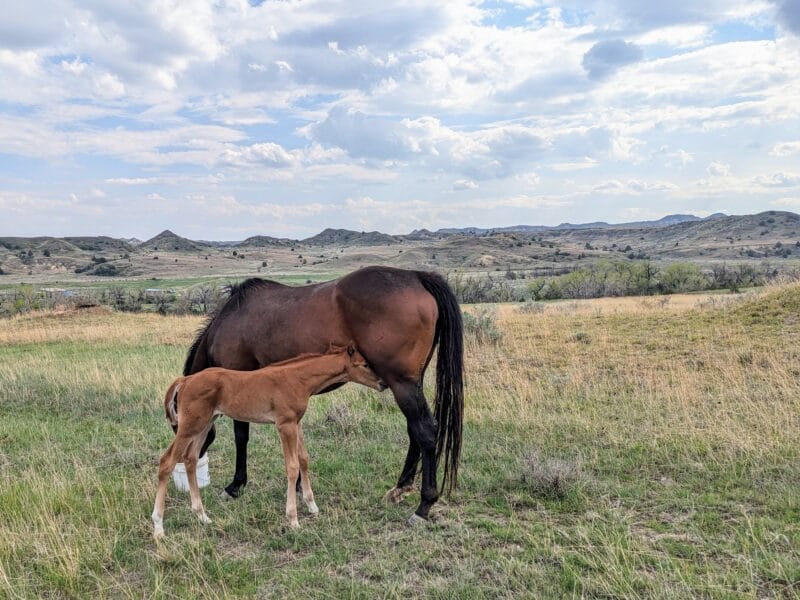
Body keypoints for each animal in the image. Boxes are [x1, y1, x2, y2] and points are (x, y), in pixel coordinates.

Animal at [155, 342, 386, 540]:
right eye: (364, 364)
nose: (383, 383)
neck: (298, 379)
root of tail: (185, 380)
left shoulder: (296, 423)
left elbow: (304, 459)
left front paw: (312, 506)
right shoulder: (284, 425)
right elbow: (292, 466)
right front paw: (293, 519)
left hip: (204, 424)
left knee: (190, 459)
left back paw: (202, 516)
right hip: (190, 427)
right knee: (167, 461)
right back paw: (158, 527)